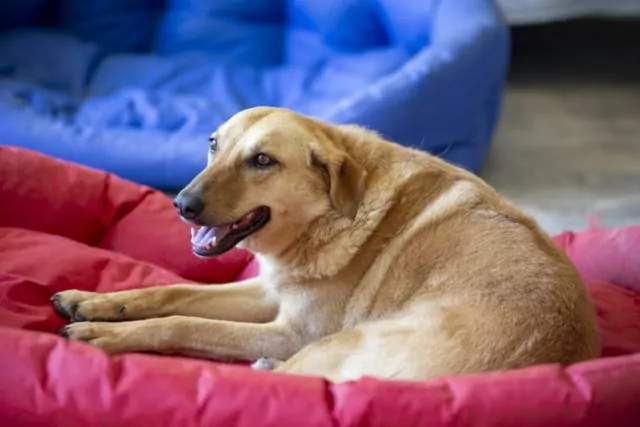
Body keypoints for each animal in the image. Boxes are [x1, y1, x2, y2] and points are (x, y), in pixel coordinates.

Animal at [52, 108, 596, 384]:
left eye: (263, 160)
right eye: (212, 144)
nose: (181, 204)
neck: (325, 220)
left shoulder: (290, 330)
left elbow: (184, 322)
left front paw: (103, 335)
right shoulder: (270, 290)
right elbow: (172, 291)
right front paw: (92, 302)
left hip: (340, 340)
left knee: (288, 379)